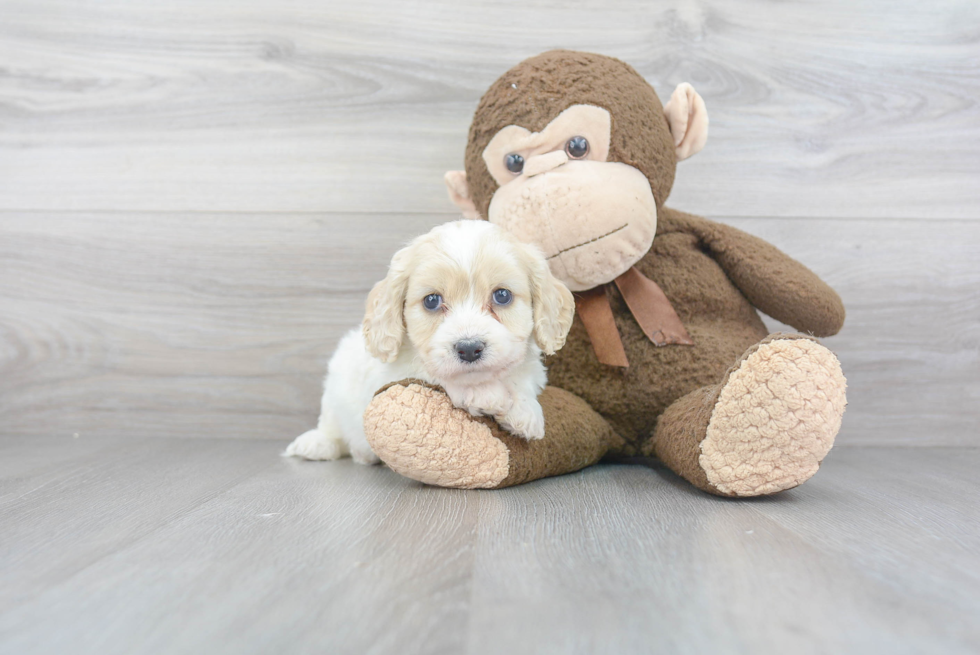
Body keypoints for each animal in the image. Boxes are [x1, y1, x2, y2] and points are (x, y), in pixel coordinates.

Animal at [284, 220, 576, 466]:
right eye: (432, 301)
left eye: (502, 295)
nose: (469, 348)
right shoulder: (394, 373)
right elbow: (431, 372)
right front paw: (486, 394)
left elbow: (521, 375)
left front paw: (526, 413)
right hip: (335, 386)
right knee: (331, 425)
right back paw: (317, 444)